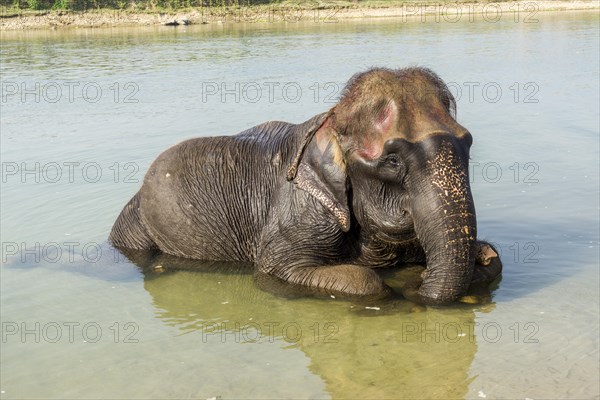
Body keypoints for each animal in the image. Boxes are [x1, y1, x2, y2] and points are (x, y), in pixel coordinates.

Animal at [111, 67, 502, 304]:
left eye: (468, 143)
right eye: (392, 160)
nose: (417, 284)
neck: (331, 118)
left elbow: (495, 257)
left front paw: (479, 255)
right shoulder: (300, 211)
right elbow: (277, 268)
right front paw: (392, 291)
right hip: (134, 226)